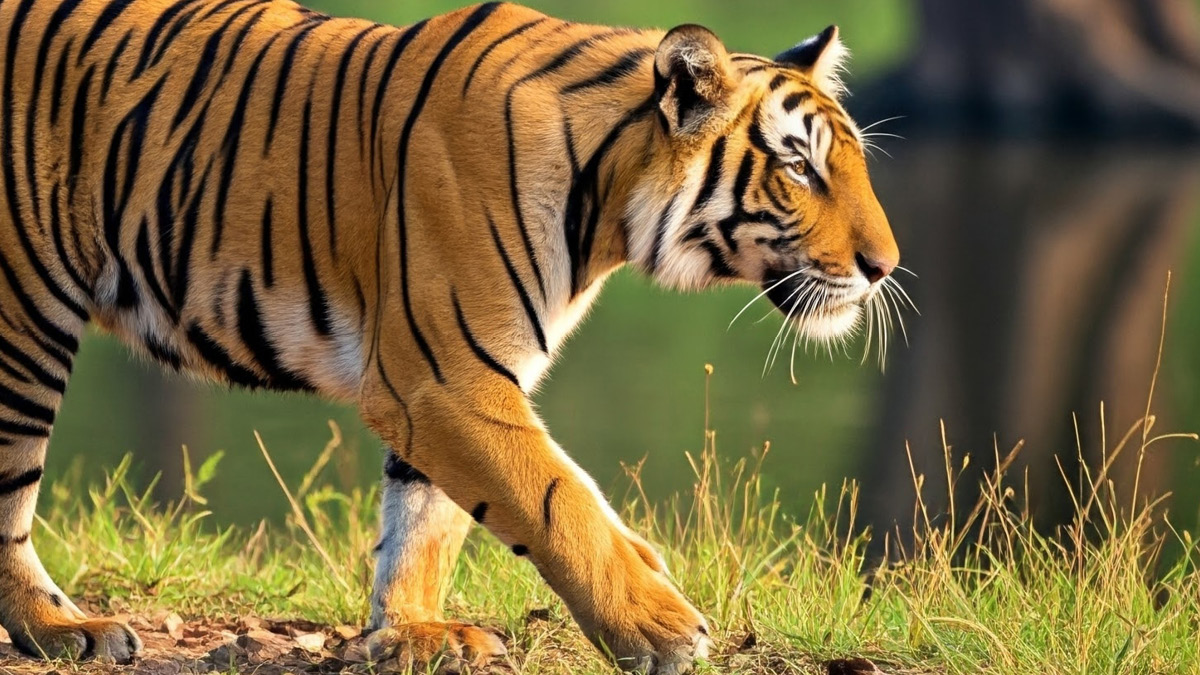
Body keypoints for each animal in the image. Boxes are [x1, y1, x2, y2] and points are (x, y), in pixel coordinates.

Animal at [0, 0, 900, 671]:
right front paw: (660, 625)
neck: (607, 204)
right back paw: (62, 630)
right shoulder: (444, 375)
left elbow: (426, 515)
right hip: (24, 318)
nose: (885, 266)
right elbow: (554, 496)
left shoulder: (457, 375)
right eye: (800, 167)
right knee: (11, 492)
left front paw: (411, 633)